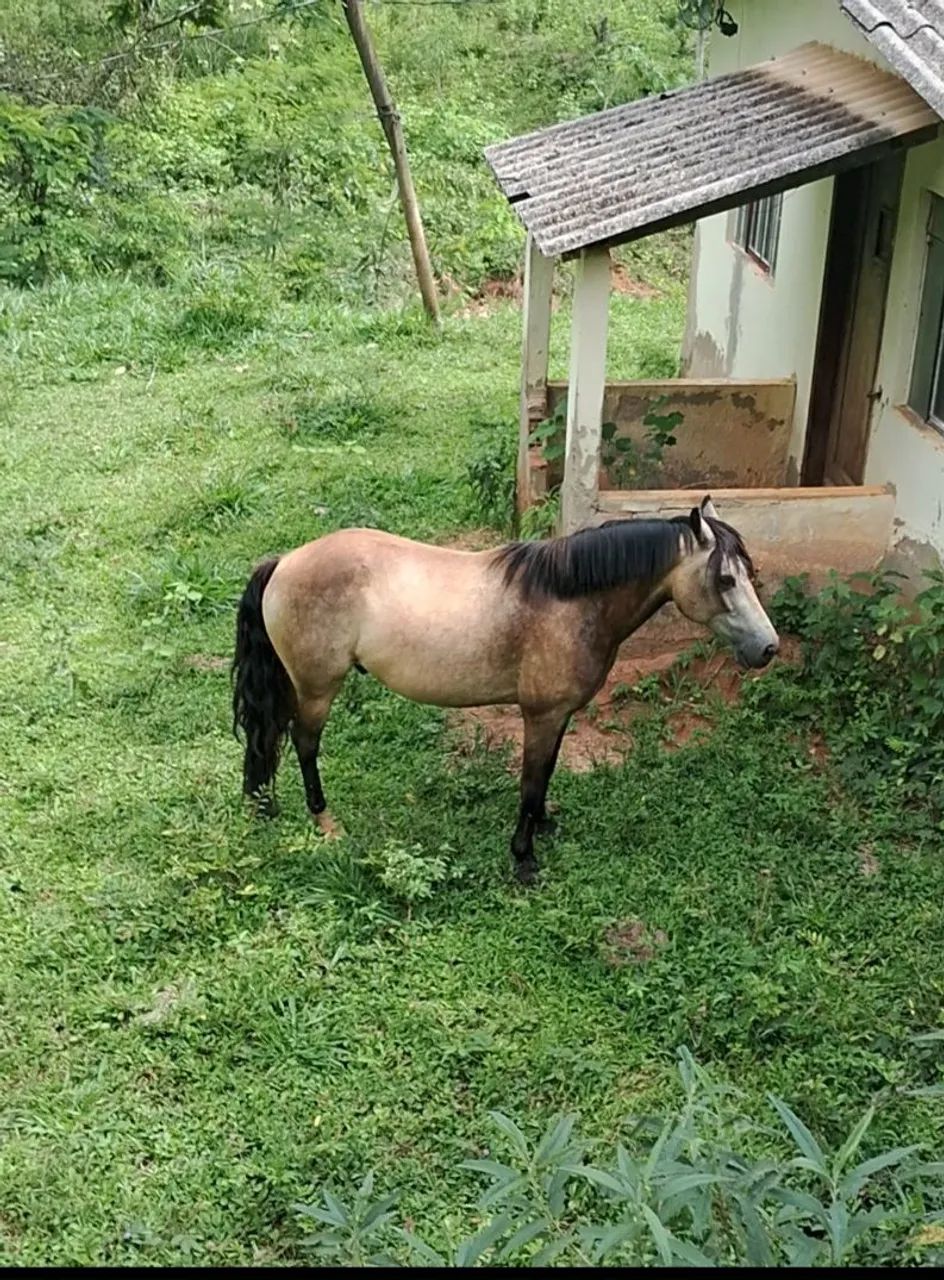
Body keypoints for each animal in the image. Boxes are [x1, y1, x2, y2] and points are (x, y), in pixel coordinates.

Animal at [232, 495, 779, 883]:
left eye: (747, 573)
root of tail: (284, 562)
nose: (768, 648)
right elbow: (531, 781)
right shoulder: (541, 715)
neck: (569, 600)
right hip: (317, 689)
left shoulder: (558, 717)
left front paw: (543, 827)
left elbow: (546, 775)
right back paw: (325, 822)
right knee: (304, 744)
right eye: (725, 579)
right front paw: (523, 859)